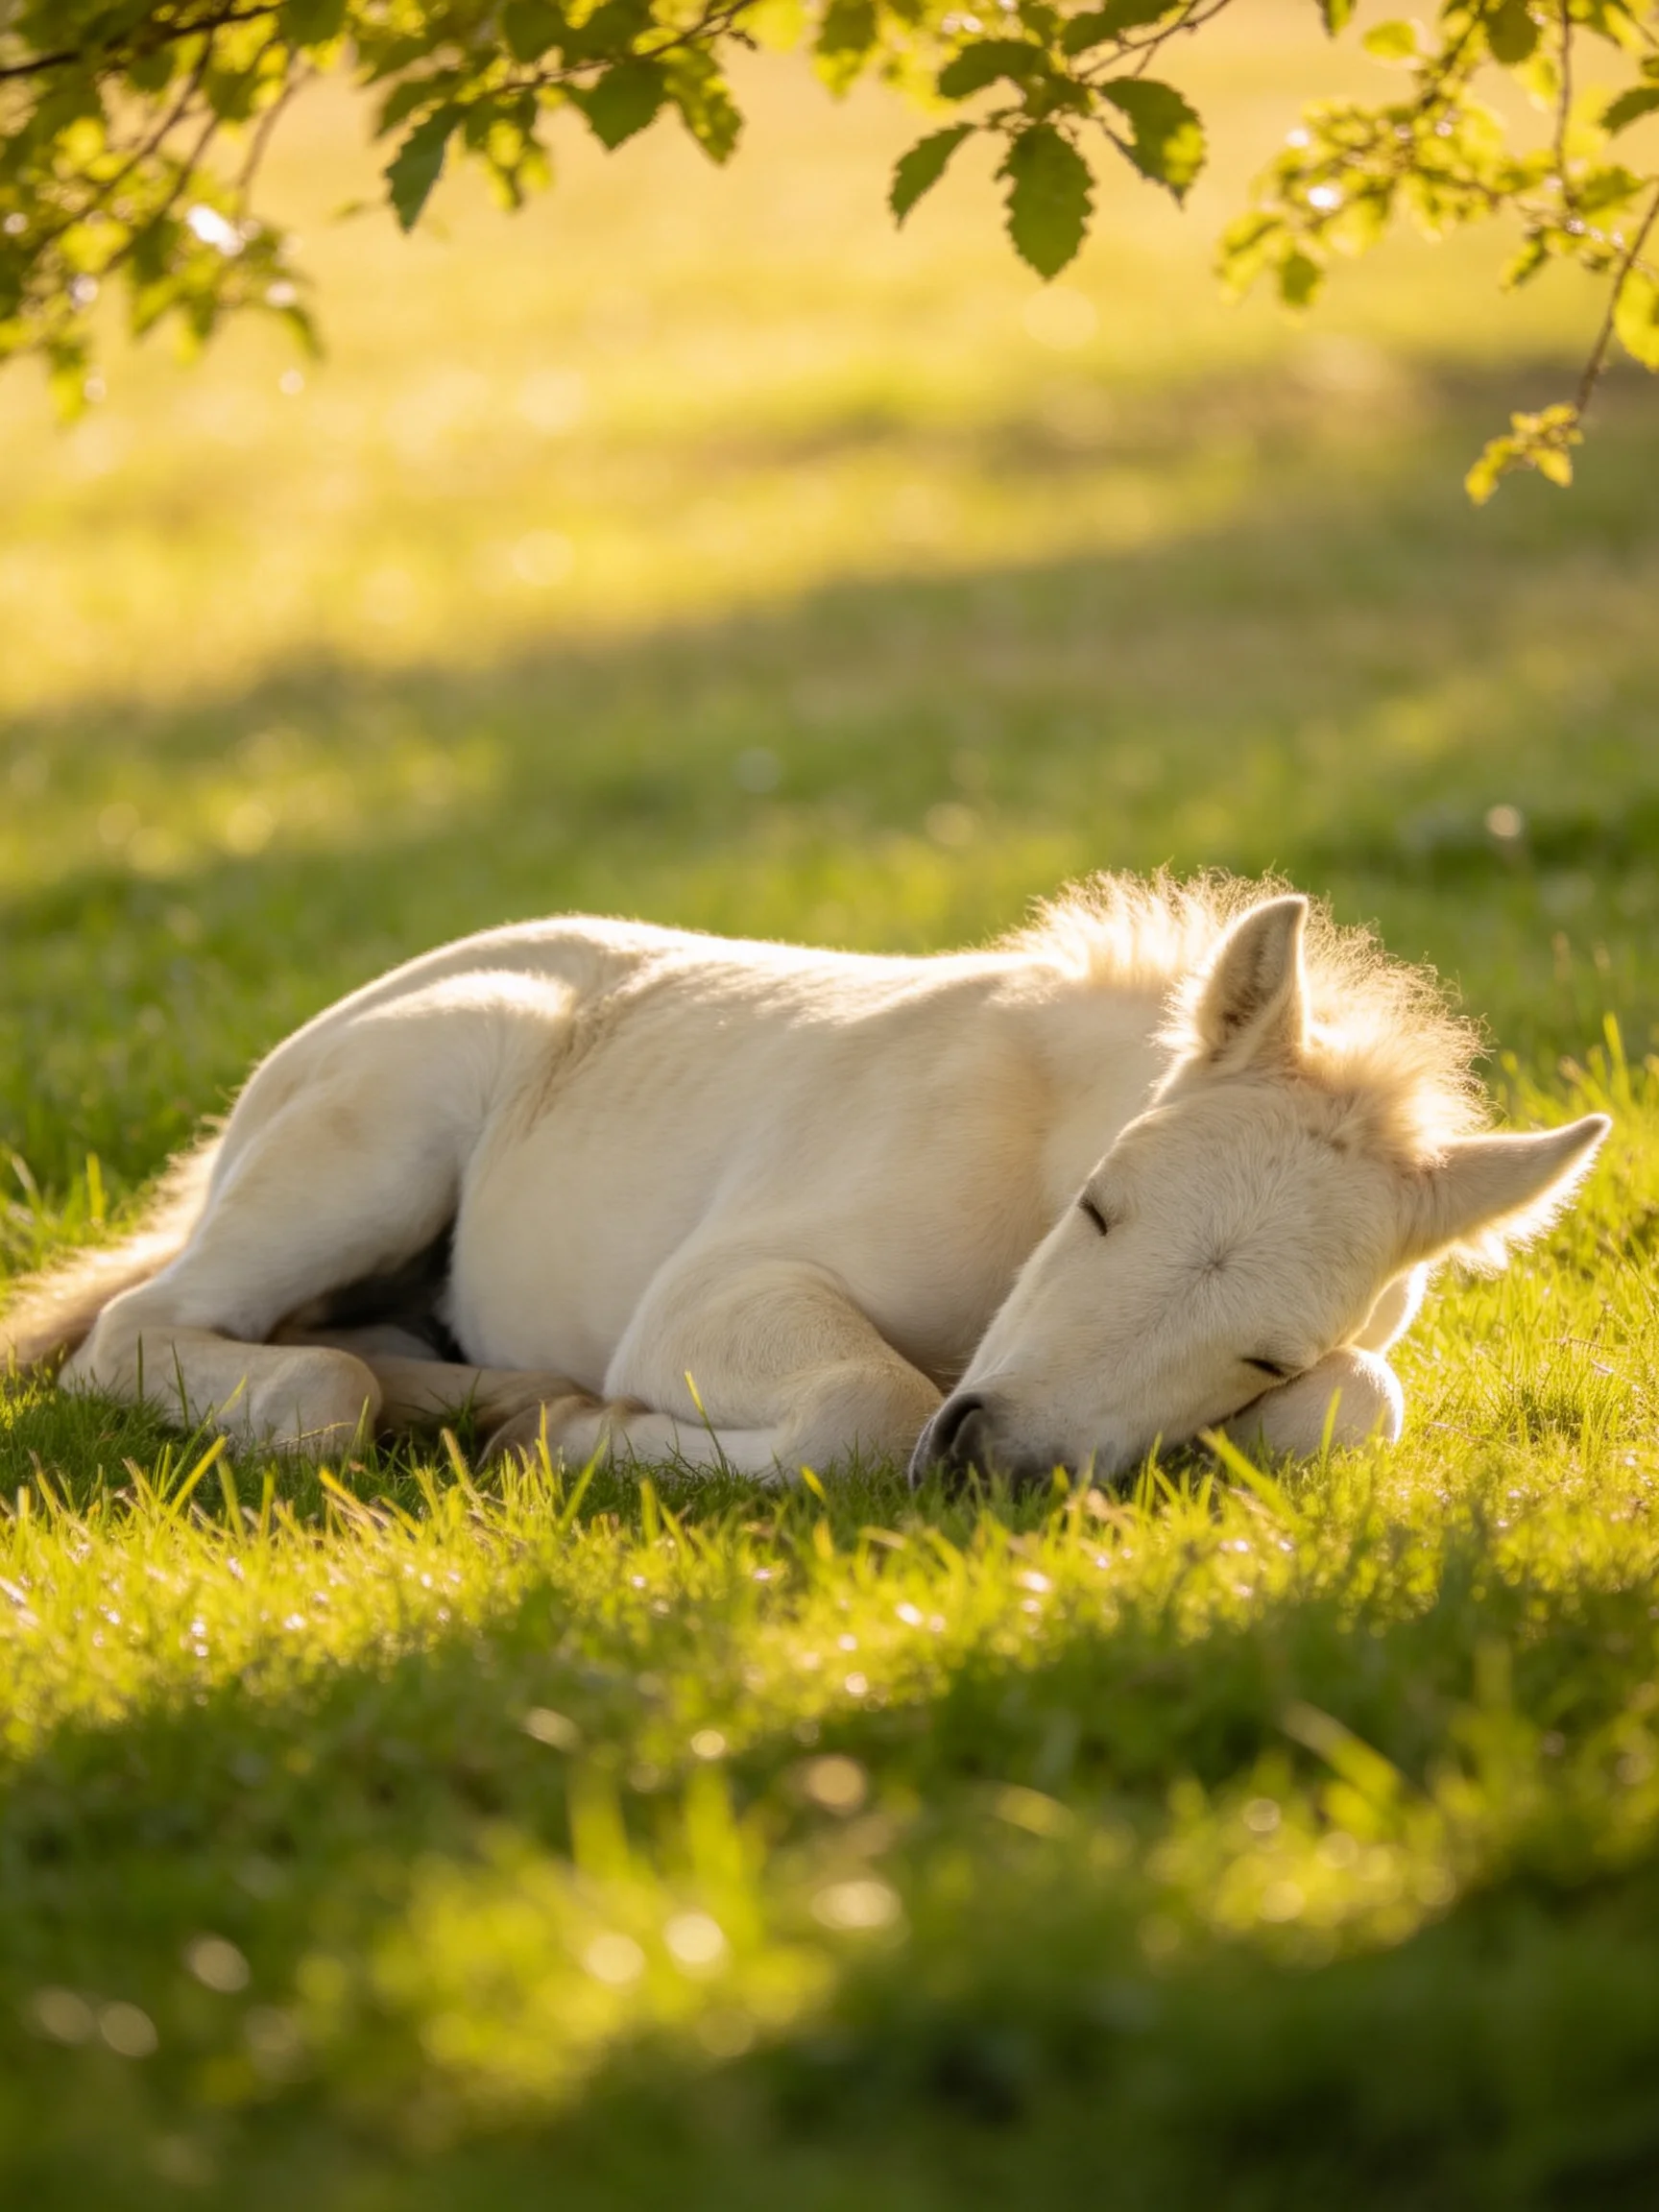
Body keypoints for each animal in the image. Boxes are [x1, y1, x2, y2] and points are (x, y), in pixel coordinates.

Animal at [0, 874, 1608, 1487]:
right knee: (161, 1336)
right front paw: (594, 1436)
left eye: (1264, 1351)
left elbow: (1356, 1406)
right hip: (384, 1131)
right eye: (1102, 1206)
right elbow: (862, 1410)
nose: (988, 1459)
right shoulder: (715, 1292)